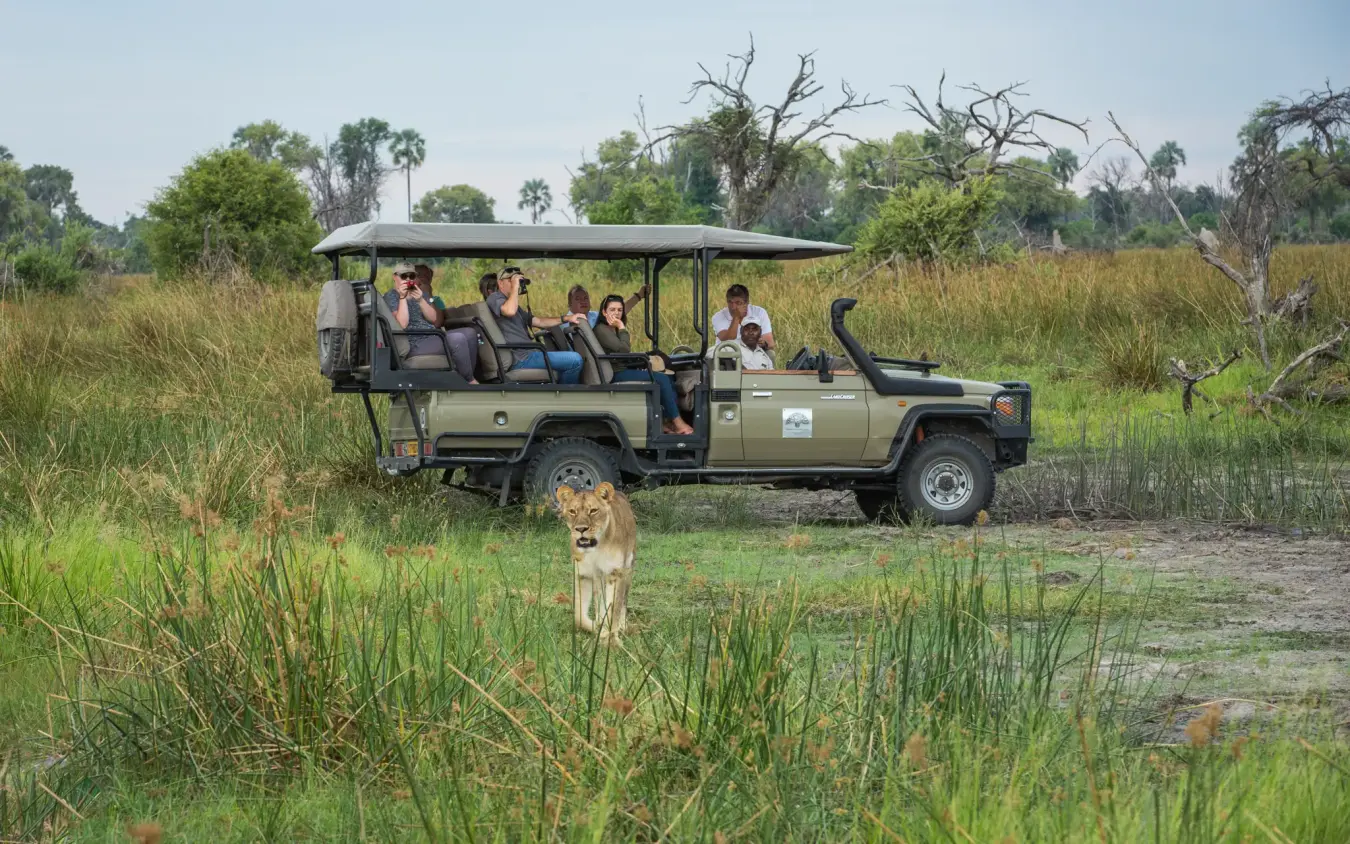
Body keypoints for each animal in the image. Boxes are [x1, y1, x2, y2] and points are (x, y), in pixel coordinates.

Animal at [556, 482, 635, 643]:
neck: (596, 547)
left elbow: (614, 608)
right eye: (572, 511)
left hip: (628, 567)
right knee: (600, 600)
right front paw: (599, 629)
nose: (581, 529)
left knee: (623, 600)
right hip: (598, 578)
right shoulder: (583, 574)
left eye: (593, 510)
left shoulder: (616, 573)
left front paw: (611, 638)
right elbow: (579, 616)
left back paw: (622, 625)